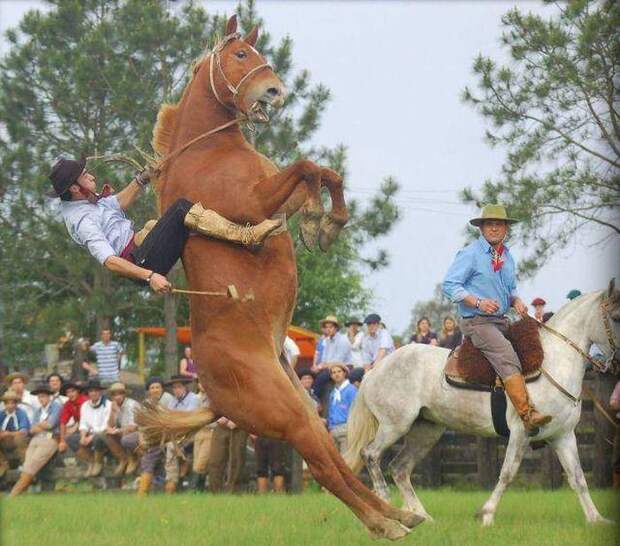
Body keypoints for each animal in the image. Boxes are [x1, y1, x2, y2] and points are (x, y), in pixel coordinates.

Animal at [137, 14, 422, 536]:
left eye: (259, 52)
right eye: (240, 55)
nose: (274, 91)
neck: (207, 151)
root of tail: (213, 399)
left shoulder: (274, 196)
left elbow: (322, 173)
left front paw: (320, 223)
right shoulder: (252, 202)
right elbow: (308, 166)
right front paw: (320, 221)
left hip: (303, 405)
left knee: (332, 457)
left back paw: (398, 513)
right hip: (285, 413)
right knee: (323, 468)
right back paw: (385, 523)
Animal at [346, 280, 616, 524]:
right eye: (615, 316)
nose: (614, 364)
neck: (552, 362)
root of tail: (375, 369)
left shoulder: (563, 436)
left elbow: (578, 478)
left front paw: (596, 518)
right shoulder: (521, 432)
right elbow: (507, 474)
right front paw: (486, 514)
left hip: (426, 430)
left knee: (400, 468)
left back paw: (421, 517)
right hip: (395, 425)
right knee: (371, 455)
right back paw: (386, 506)